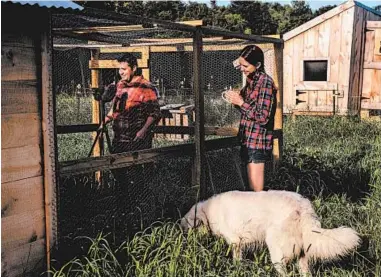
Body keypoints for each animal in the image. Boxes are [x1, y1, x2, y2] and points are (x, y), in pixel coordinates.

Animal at [180, 190, 360, 276]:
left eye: (186, 228)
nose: (184, 240)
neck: (208, 212)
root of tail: (304, 207)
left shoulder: (235, 242)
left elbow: (236, 260)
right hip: (302, 253)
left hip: (276, 250)